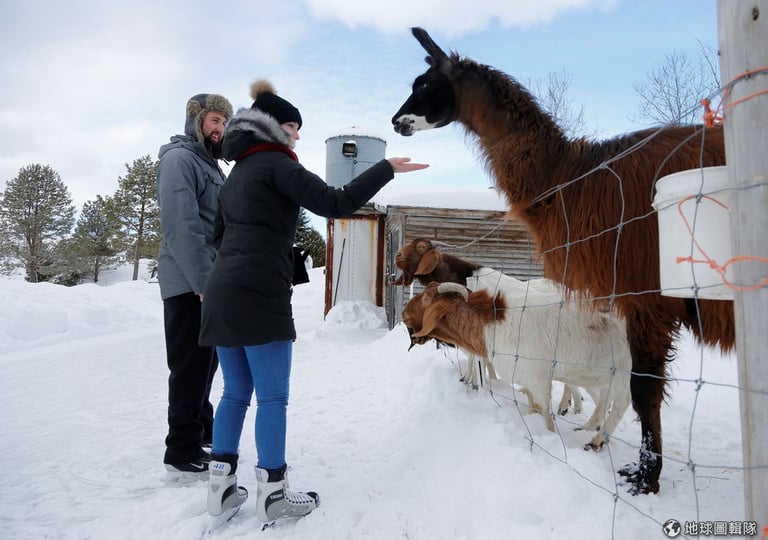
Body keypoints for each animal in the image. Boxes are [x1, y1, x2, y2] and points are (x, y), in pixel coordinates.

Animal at [402, 276, 632, 450]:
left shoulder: (538, 379)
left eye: (426, 298)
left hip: (624, 372)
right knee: (604, 399)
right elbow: (532, 406)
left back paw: (597, 440)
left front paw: (549, 437)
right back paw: (588, 427)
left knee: (621, 401)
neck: (493, 324)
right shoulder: (527, 380)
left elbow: (545, 414)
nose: (403, 313)